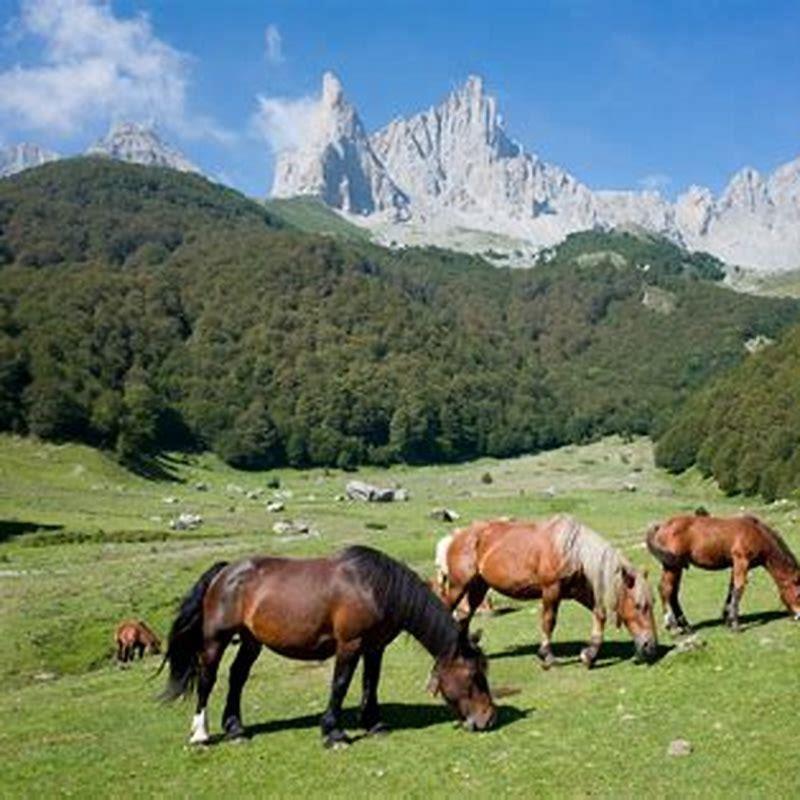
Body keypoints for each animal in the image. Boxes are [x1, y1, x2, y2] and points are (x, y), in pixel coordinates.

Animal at [162, 548, 496, 748]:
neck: (373, 588)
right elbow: (341, 684)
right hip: (216, 640)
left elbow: (370, 683)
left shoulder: (375, 647)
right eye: (473, 677)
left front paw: (373, 723)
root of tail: (224, 572)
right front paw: (333, 732)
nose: (488, 719)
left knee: (237, 677)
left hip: (251, 640)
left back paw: (235, 729)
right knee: (207, 680)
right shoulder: (350, 645)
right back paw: (201, 734)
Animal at [438, 516, 656, 664]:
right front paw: (547, 655)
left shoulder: (578, 591)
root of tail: (455, 537)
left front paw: (589, 654)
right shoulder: (551, 590)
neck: (572, 550)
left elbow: (599, 614)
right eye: (639, 606)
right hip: (458, 585)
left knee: (465, 616)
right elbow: (549, 621)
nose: (650, 645)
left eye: (651, 604)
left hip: (478, 587)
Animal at [644, 510, 800, 636]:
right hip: (672, 566)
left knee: (673, 593)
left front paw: (727, 619)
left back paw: (686, 626)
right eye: (799, 595)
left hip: (676, 567)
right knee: (665, 589)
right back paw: (673, 626)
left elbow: (731, 590)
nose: (798, 616)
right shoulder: (741, 562)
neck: (756, 533)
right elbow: (738, 590)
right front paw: (735, 625)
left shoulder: (736, 565)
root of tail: (661, 526)